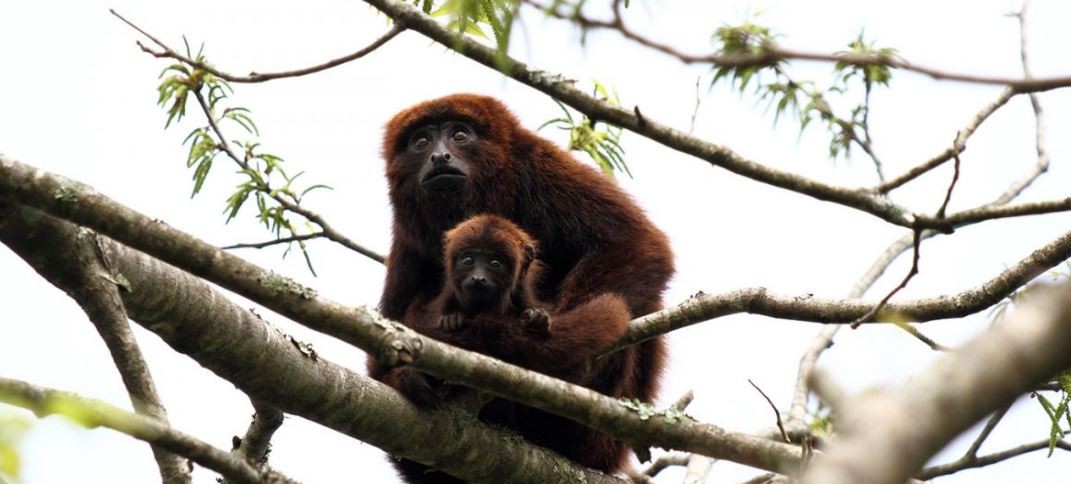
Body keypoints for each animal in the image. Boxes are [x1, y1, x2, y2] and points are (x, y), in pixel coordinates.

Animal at [367, 94, 675, 478]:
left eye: (459, 135)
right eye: (421, 141)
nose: (439, 156)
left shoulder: (539, 166)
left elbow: (634, 243)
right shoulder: (407, 237)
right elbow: (381, 358)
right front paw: (407, 376)